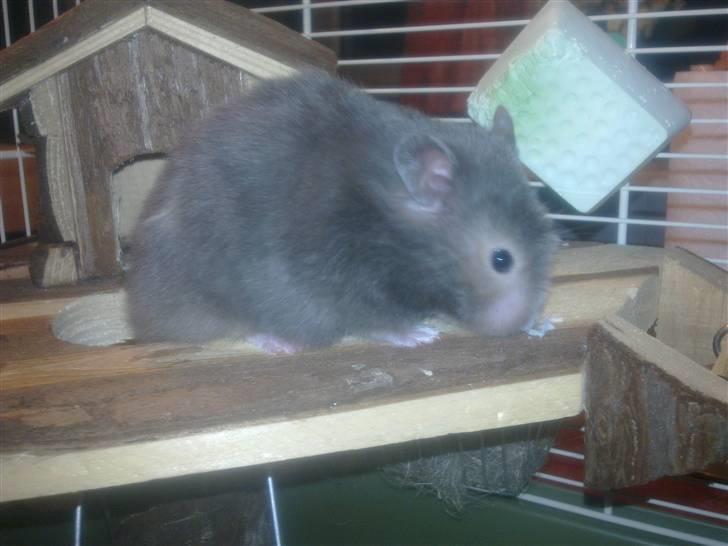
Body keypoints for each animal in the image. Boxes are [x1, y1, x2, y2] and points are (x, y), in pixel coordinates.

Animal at [126, 70, 557, 354]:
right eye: (501, 260)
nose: (525, 323)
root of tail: (140, 308)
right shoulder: (339, 286)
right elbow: (375, 322)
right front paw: (419, 335)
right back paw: (278, 342)